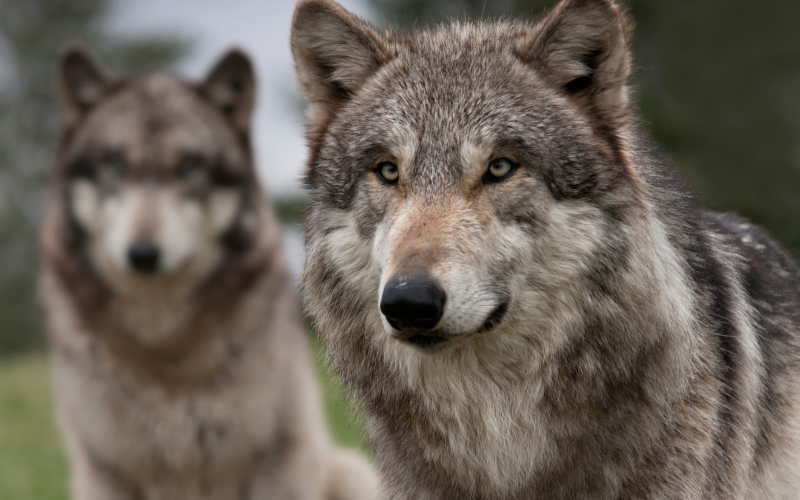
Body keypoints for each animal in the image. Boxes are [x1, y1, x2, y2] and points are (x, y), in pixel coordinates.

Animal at [37, 47, 376, 500]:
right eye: (115, 165)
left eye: (188, 167)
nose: (143, 254)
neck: (164, 341)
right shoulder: (106, 472)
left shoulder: (277, 460)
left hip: (351, 470)